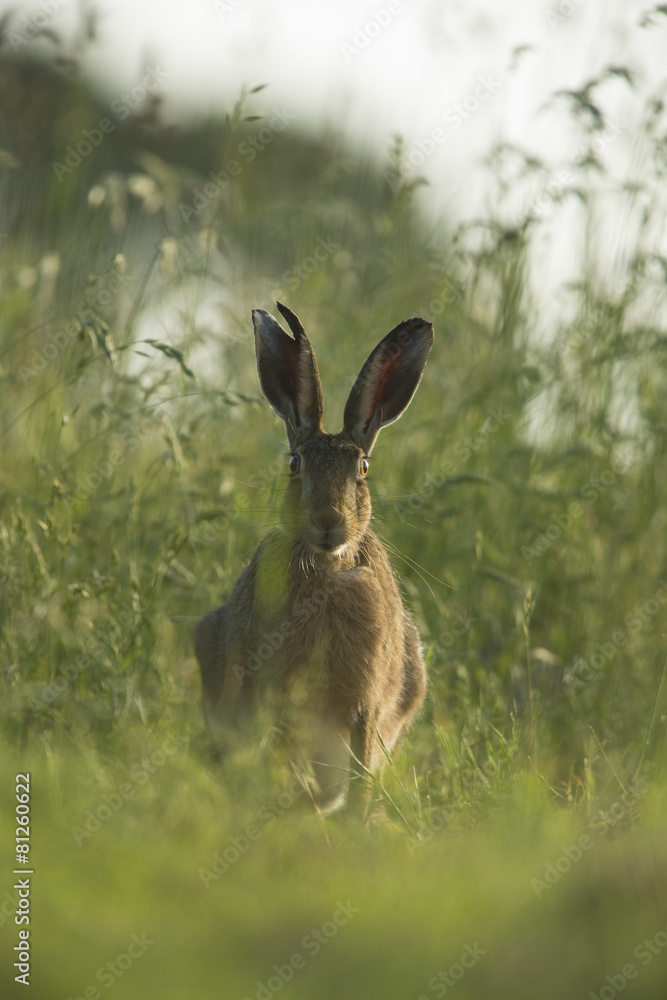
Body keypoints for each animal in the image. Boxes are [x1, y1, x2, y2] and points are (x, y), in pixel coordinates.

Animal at [194, 302, 433, 813]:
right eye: (294, 465)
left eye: (362, 469)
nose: (329, 520)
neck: (328, 568)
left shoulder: (365, 709)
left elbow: (361, 772)